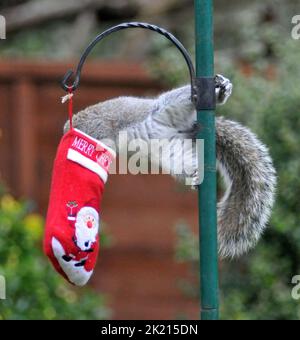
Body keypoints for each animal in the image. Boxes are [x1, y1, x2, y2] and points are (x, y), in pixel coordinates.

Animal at [65, 75, 276, 258]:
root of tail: (187, 129)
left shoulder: (97, 127)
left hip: (167, 108)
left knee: (183, 97)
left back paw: (220, 91)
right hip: (171, 151)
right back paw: (195, 175)